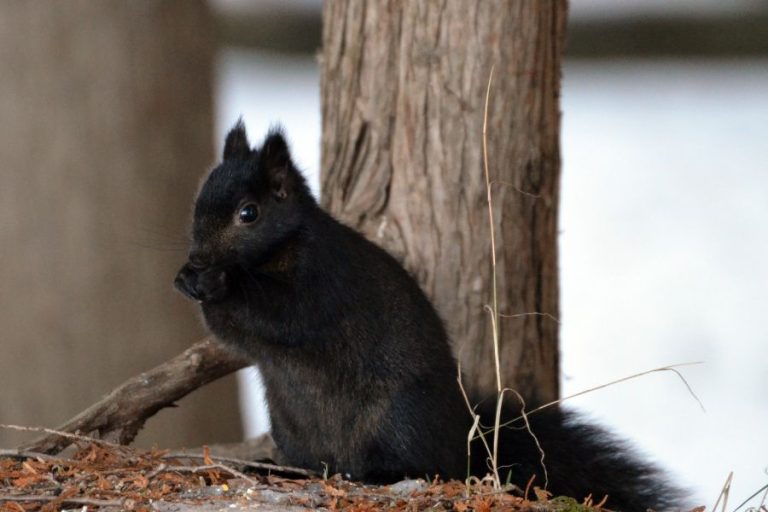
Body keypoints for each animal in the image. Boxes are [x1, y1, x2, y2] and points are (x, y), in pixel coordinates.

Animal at [174, 122, 684, 510]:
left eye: (249, 213)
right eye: (198, 199)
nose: (197, 258)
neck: (274, 252)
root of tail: (463, 440)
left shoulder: (322, 281)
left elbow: (281, 315)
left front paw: (219, 282)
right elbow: (238, 337)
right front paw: (187, 280)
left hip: (400, 419)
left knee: (424, 464)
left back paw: (381, 474)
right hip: (292, 427)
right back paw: (278, 467)